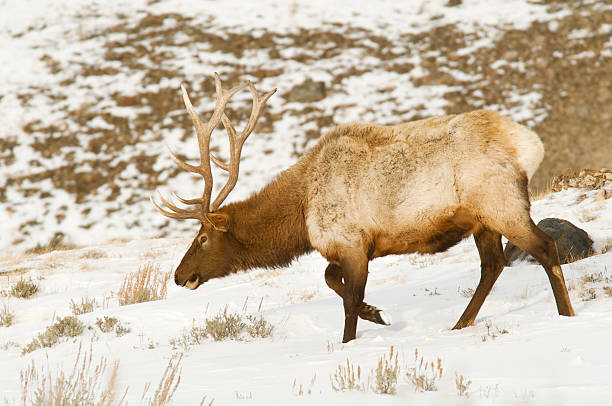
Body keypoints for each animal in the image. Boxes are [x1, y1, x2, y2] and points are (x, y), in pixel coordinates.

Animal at [152, 73, 572, 342]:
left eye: (202, 238)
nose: (179, 276)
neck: (301, 214)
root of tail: (530, 144)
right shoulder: (349, 248)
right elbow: (330, 281)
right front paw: (378, 313)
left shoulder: (352, 244)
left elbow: (348, 302)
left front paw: (354, 336)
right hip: (481, 220)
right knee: (493, 265)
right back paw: (459, 326)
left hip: (501, 203)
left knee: (544, 247)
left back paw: (566, 316)